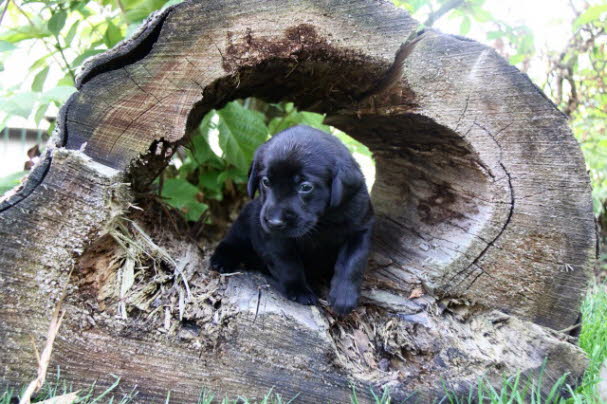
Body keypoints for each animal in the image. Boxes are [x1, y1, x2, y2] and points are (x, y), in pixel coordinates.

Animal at [210, 124, 376, 314]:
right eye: (266, 181)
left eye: (305, 187)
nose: (274, 222)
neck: (323, 221)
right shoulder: (272, 236)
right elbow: (287, 263)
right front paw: (299, 290)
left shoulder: (360, 228)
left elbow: (353, 262)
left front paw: (344, 297)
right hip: (246, 219)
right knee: (232, 240)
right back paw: (222, 259)